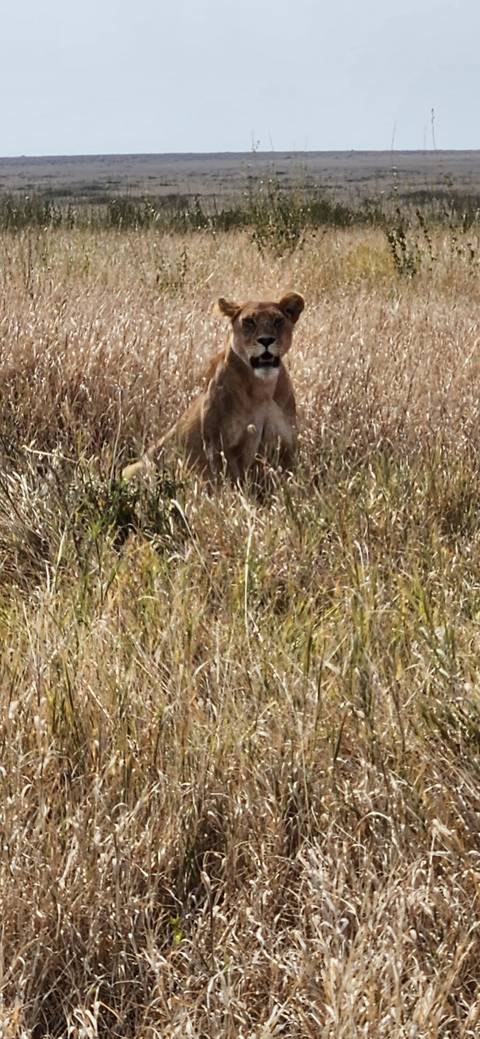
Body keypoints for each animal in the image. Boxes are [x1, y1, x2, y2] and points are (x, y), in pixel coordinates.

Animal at [122, 291, 304, 483]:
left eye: (278, 320)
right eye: (249, 321)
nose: (266, 340)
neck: (262, 389)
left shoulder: (286, 446)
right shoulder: (219, 445)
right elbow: (229, 483)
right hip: (136, 467)